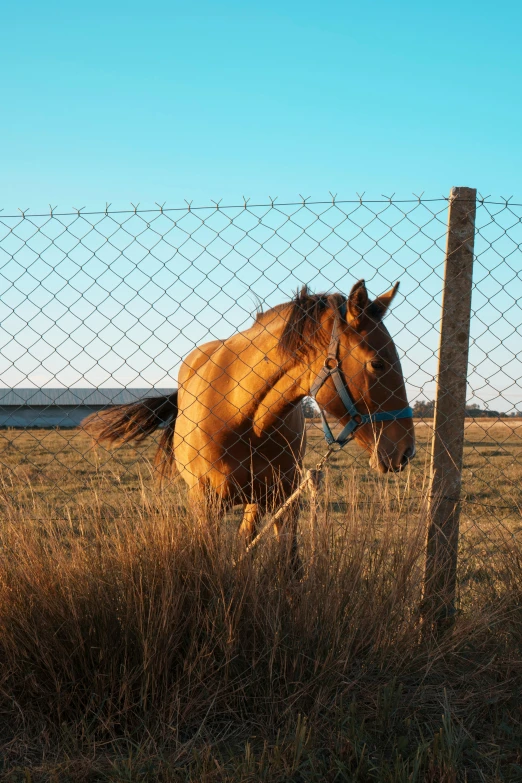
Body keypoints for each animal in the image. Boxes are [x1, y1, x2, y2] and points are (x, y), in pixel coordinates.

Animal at [82, 282, 414, 564]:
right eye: (377, 363)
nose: (405, 452)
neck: (244, 418)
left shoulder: (285, 499)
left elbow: (287, 564)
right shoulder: (207, 504)